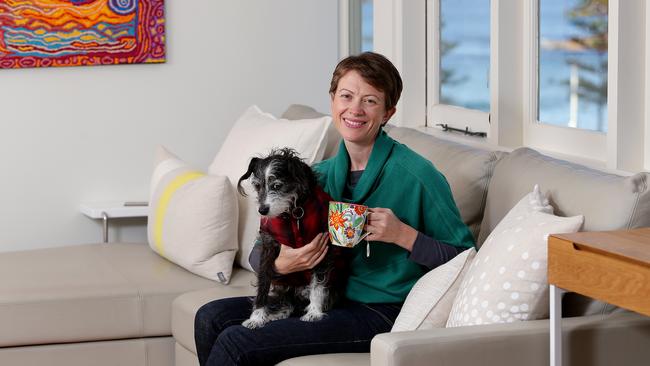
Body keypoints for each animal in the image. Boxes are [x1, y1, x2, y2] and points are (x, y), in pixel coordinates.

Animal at [234, 149, 344, 328]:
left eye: (277, 186)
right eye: (257, 186)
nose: (262, 210)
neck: (293, 213)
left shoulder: (322, 247)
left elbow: (318, 284)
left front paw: (314, 312)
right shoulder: (268, 247)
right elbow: (263, 281)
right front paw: (257, 317)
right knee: (287, 304)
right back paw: (275, 314)